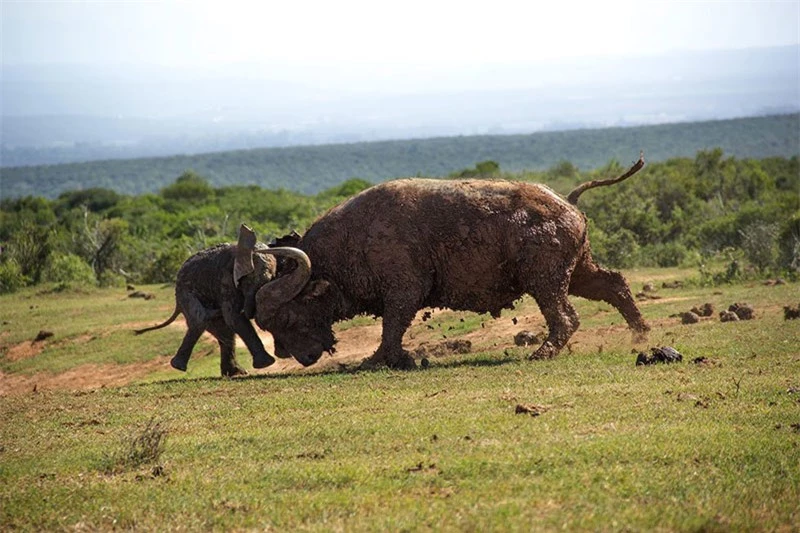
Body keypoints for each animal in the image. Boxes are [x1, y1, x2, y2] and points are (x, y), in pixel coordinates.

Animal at [134, 222, 310, 376]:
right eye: (249, 281)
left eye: (271, 278)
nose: (251, 312)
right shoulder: (226, 280)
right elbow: (234, 317)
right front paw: (268, 363)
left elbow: (233, 320)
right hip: (185, 292)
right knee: (201, 320)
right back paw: (179, 367)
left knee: (224, 331)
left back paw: (234, 373)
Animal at [248, 156, 648, 368]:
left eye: (287, 318)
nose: (300, 357)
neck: (354, 239)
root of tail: (567, 202)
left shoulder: (404, 291)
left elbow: (392, 326)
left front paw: (381, 360)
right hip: (577, 271)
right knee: (615, 284)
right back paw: (640, 336)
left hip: (545, 279)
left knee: (566, 317)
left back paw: (543, 352)